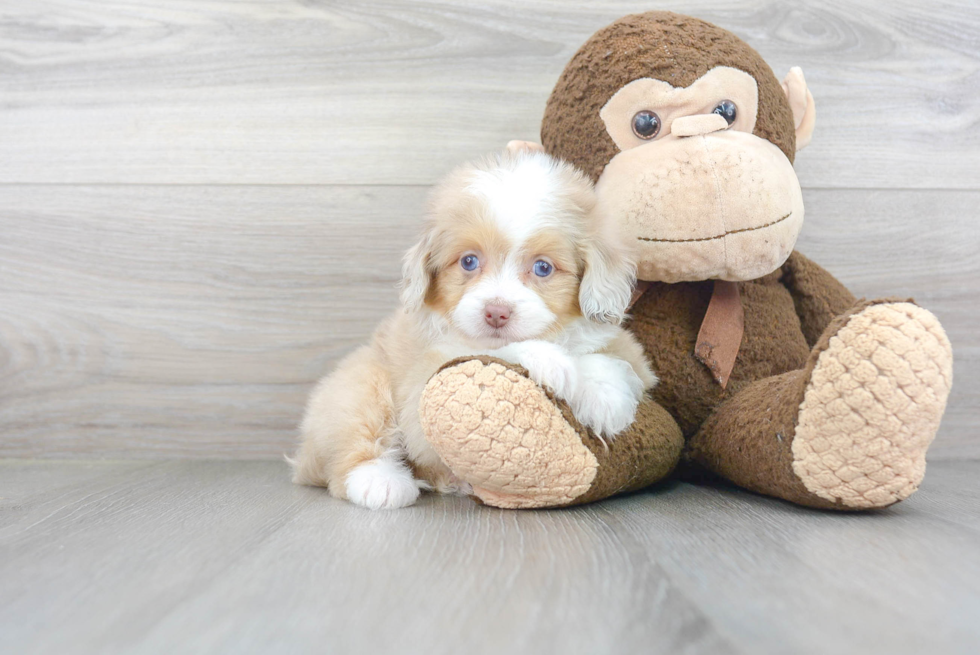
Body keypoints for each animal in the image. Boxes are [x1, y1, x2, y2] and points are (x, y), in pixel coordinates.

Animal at [290, 151, 660, 510]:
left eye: (543, 267)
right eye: (469, 261)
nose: (496, 312)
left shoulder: (630, 353)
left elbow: (616, 361)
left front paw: (604, 396)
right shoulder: (421, 393)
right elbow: (489, 352)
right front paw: (549, 360)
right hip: (358, 384)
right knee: (350, 450)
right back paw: (380, 482)